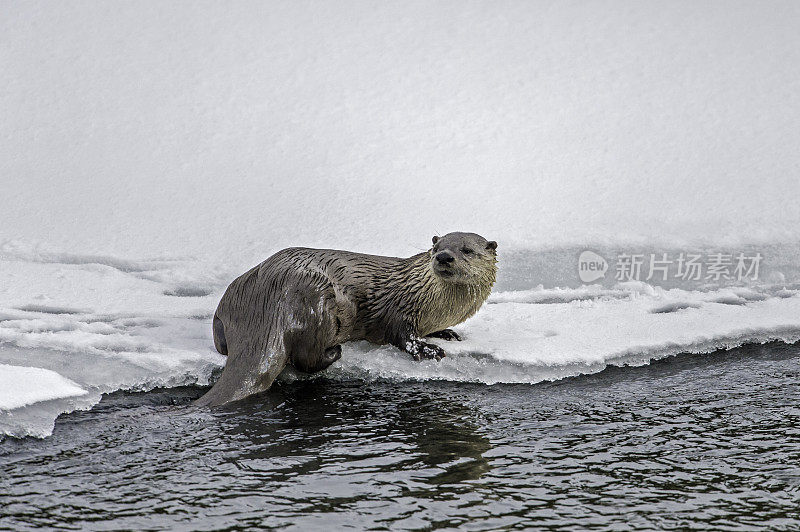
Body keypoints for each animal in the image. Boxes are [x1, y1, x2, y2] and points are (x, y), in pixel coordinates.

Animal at [195, 231, 494, 406]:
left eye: (467, 250)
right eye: (436, 247)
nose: (444, 256)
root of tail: (266, 298)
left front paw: (446, 333)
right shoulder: (400, 308)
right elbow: (401, 334)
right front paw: (426, 349)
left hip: (226, 312)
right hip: (318, 300)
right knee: (306, 357)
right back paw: (335, 352)